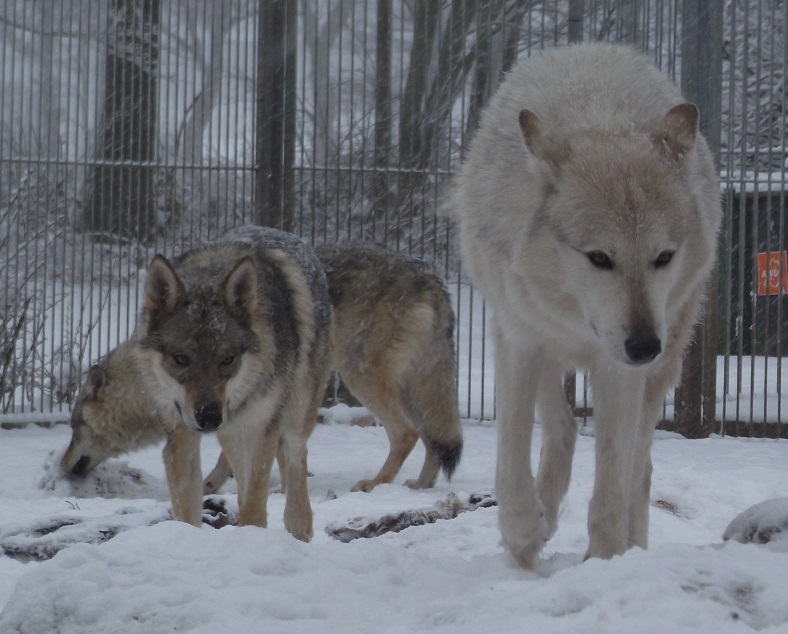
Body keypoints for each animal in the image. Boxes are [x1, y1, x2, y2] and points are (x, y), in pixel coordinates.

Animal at [135, 223, 332, 540]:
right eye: (181, 359)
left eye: (227, 359)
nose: (209, 417)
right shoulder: (180, 436)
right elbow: (186, 510)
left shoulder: (262, 429)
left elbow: (255, 508)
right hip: (231, 434)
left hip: (295, 415)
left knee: (295, 458)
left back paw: (299, 527)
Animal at [446, 44, 724, 568]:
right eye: (599, 258)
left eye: (663, 256)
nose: (644, 346)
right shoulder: (517, 338)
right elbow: (511, 459)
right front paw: (523, 533)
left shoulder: (618, 368)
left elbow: (613, 478)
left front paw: (606, 559)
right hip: (538, 342)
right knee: (563, 427)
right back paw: (544, 517)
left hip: (666, 360)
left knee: (640, 465)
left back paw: (631, 539)